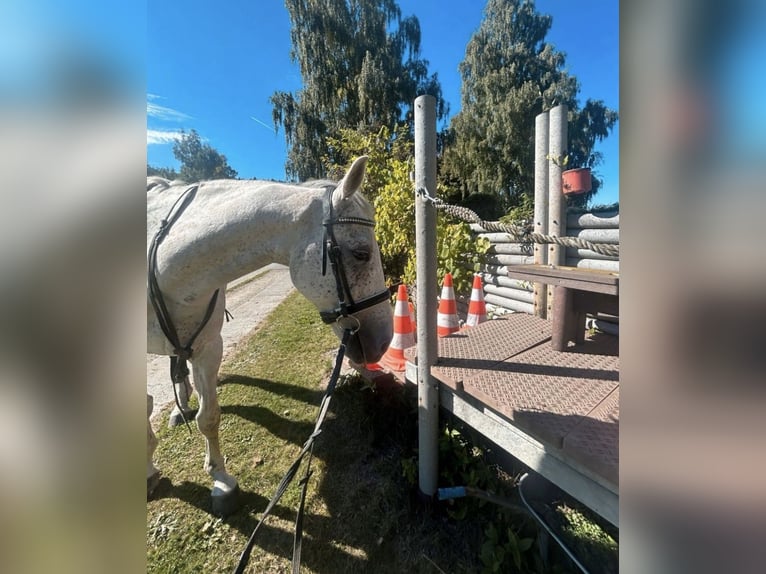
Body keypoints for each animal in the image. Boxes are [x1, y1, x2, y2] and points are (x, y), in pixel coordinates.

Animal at [147, 156, 393, 515]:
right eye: (361, 253)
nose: (385, 340)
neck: (166, 267)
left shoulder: (208, 347)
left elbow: (209, 417)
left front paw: (221, 481)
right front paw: (151, 472)